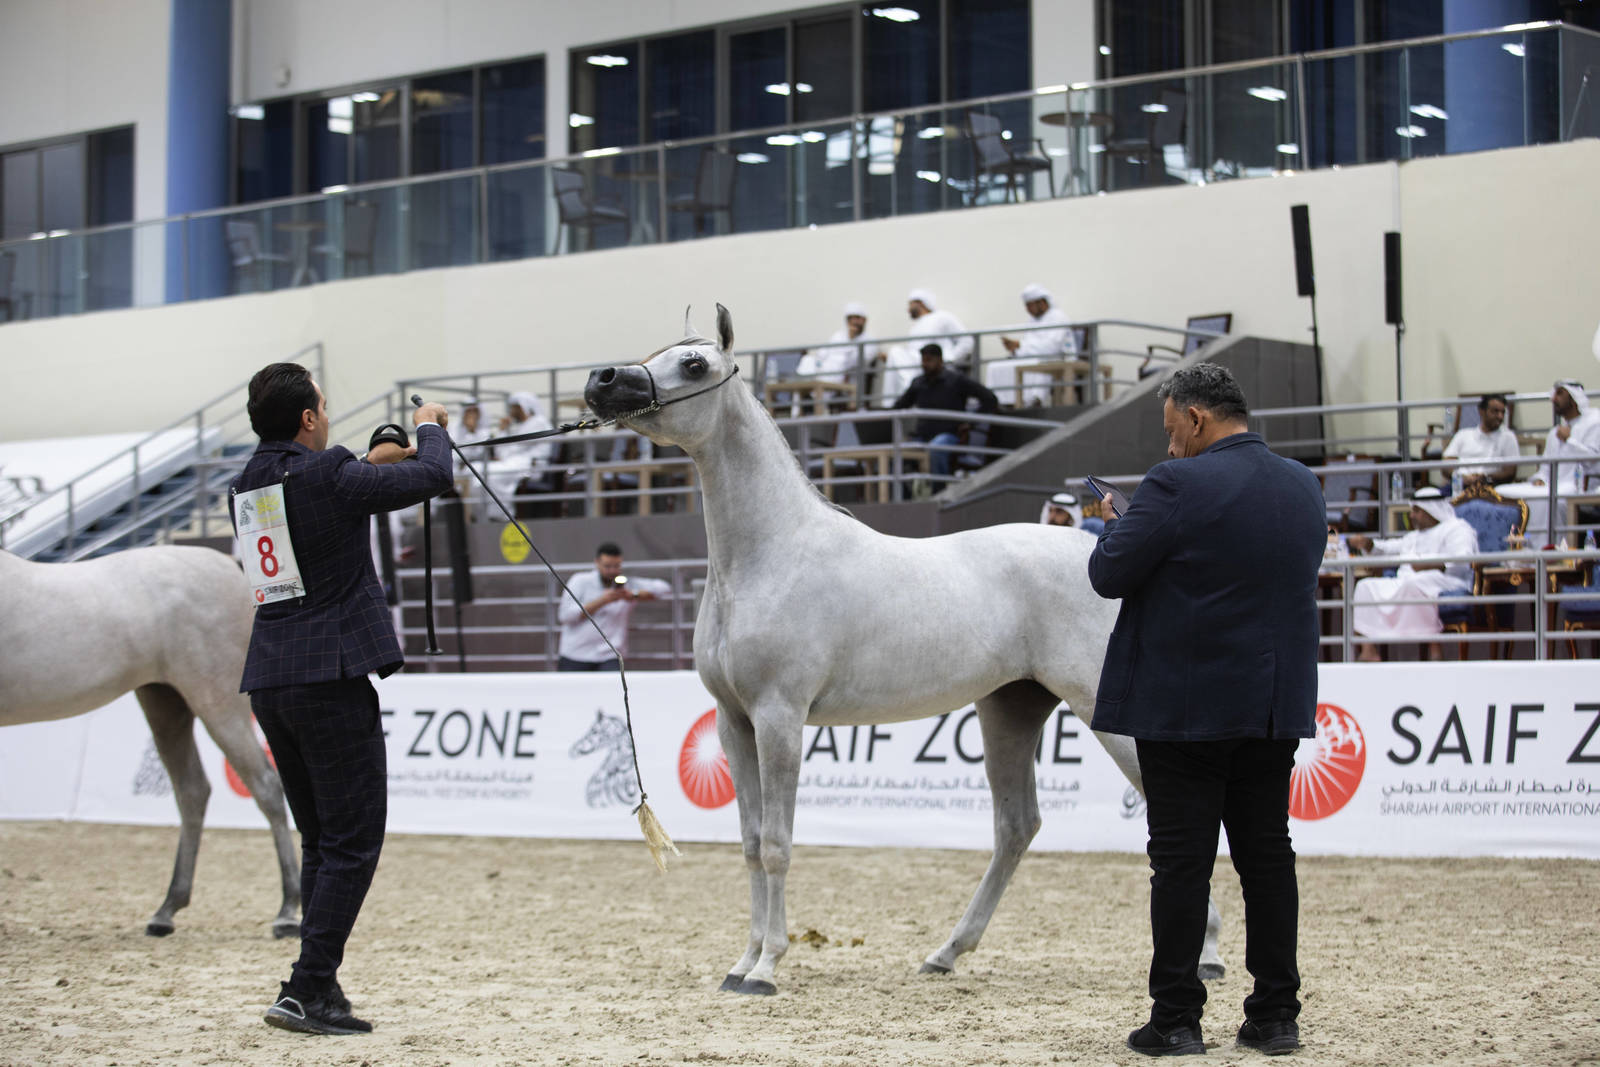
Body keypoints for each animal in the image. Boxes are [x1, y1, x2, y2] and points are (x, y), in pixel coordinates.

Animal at [0, 545, 300, 939]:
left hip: (218, 703)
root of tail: (229, 567)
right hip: (165, 703)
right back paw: (166, 910)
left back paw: (287, 912)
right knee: (192, 790)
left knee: (265, 786)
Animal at [584, 304, 1224, 995]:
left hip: (1099, 711)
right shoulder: (735, 722)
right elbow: (752, 843)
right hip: (1010, 710)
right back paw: (946, 952)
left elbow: (778, 842)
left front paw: (768, 966)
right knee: (1016, 827)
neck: (772, 554)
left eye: (695, 363)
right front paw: (741, 962)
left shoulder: (780, 718)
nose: (602, 380)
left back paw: (1210, 953)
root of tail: (1105, 550)